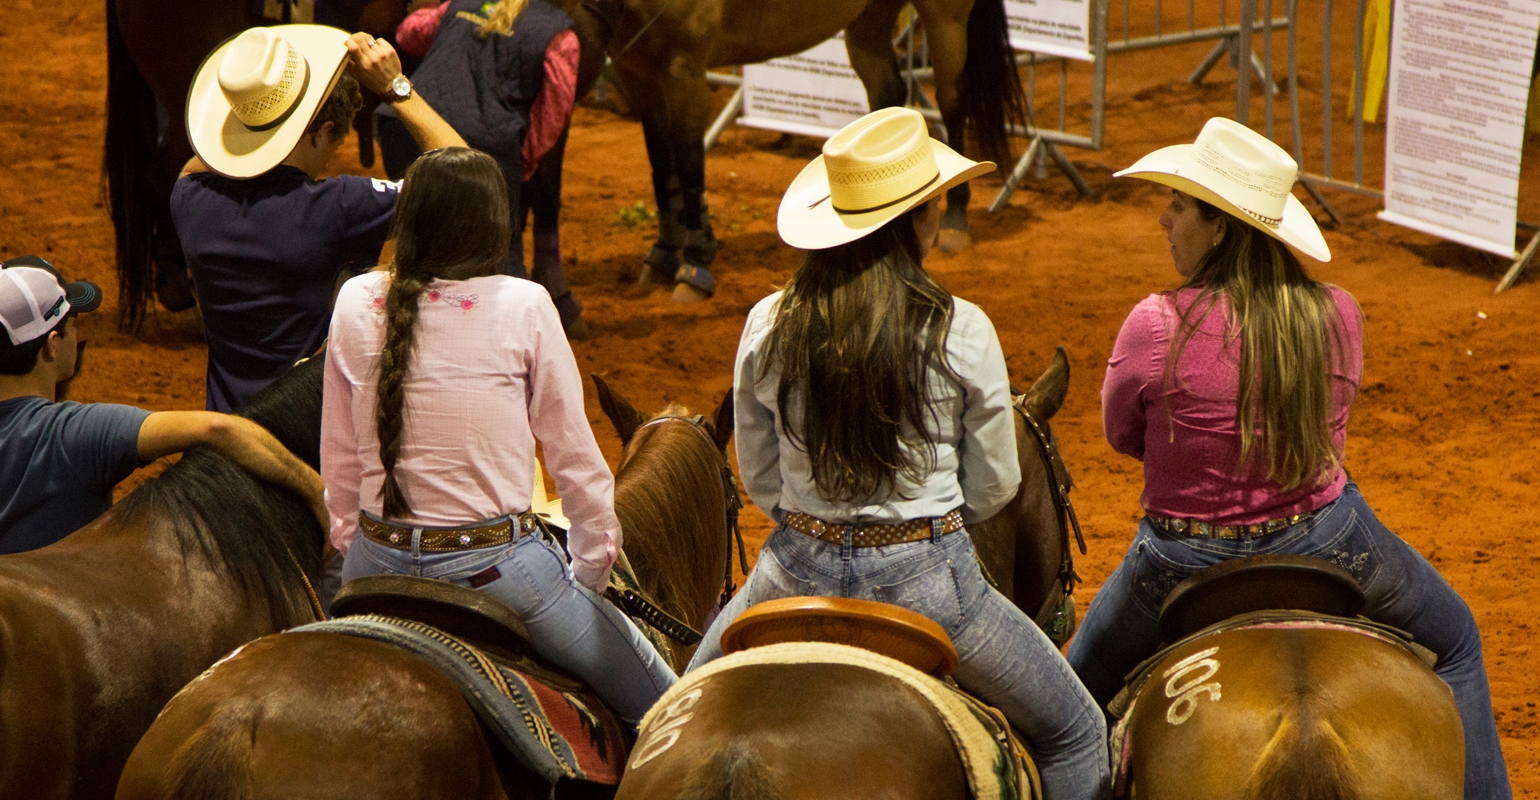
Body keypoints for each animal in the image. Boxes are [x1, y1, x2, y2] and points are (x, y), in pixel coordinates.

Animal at [606, 0, 1028, 299]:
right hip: (870, 18)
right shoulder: (635, 69)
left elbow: (689, 161)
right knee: (887, 94)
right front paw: (662, 254)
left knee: (952, 101)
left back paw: (956, 218)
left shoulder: (685, 66)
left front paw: (695, 266)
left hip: (946, 17)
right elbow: (661, 160)